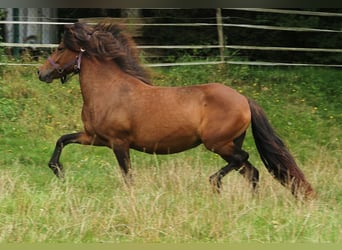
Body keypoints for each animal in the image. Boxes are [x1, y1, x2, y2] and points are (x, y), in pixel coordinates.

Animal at [38, 22, 316, 200]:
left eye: (60, 48)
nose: (41, 73)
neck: (110, 90)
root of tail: (244, 99)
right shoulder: (95, 138)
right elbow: (62, 140)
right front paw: (58, 171)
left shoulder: (118, 143)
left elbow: (128, 176)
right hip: (227, 144)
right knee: (252, 172)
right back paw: (250, 204)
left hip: (218, 143)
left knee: (244, 160)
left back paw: (214, 183)